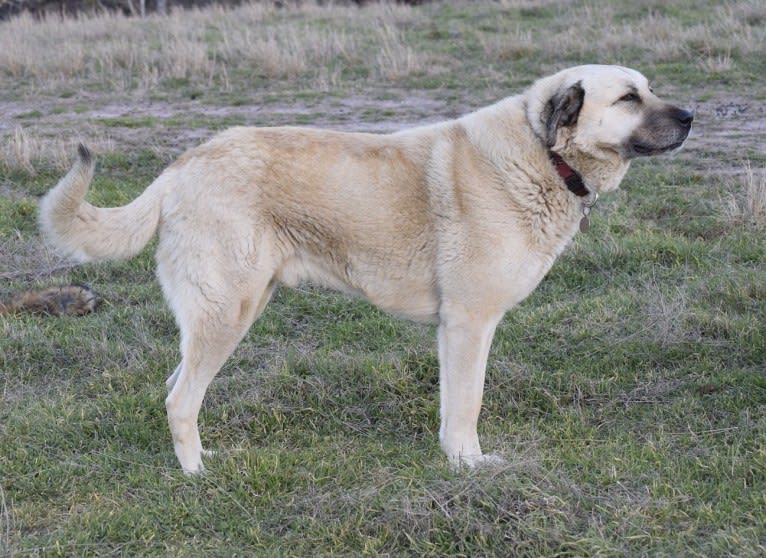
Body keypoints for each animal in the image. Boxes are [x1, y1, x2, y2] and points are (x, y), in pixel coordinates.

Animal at [37, 65, 696, 476]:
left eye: (650, 88)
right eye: (628, 98)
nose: (692, 115)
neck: (542, 153)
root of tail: (180, 168)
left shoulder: (453, 332)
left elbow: (451, 403)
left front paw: (452, 458)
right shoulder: (470, 324)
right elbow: (469, 404)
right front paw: (469, 466)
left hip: (224, 314)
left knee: (175, 388)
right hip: (228, 313)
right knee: (181, 399)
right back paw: (197, 475)